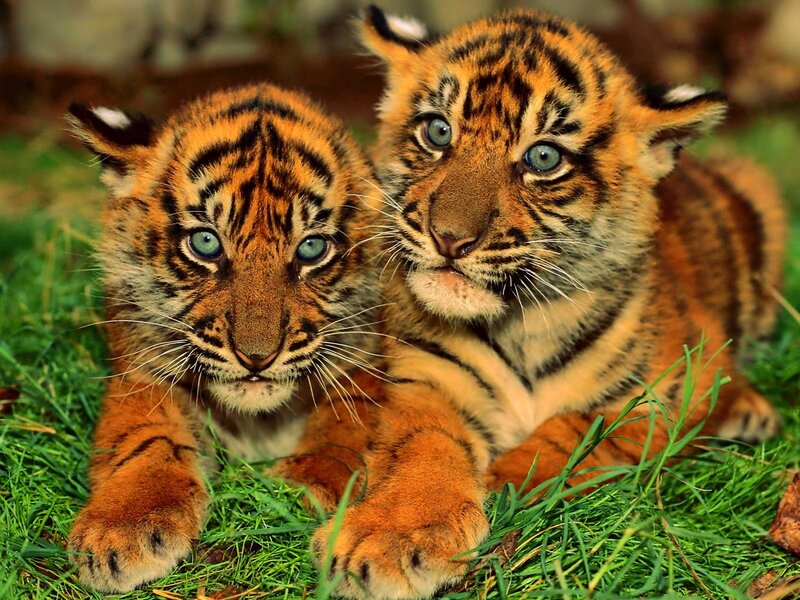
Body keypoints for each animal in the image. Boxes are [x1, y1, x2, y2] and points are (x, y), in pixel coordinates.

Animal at [65, 83, 388, 592]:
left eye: (312, 248)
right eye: (206, 243)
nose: (257, 358)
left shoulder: (365, 367)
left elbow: (341, 431)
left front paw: (299, 488)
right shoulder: (142, 372)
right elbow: (146, 439)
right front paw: (122, 527)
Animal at [307, 6, 787, 598]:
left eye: (542, 157)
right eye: (438, 131)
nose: (449, 238)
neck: (522, 322)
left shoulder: (676, 382)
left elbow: (576, 429)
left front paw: (503, 482)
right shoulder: (427, 379)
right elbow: (423, 448)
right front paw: (390, 537)